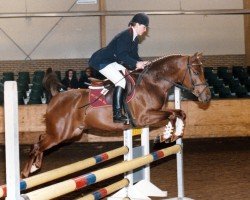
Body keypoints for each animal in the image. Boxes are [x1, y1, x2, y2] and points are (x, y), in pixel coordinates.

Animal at [21, 52, 211, 177]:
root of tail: (56, 97)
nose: (207, 96)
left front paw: (176, 134)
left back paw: (35, 166)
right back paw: (25, 173)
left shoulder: (150, 117)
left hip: (69, 133)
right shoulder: (144, 117)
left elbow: (180, 113)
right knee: (36, 146)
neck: (152, 83)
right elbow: (171, 115)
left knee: (40, 140)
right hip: (60, 134)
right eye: (196, 72)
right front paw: (165, 136)